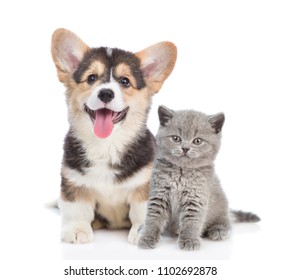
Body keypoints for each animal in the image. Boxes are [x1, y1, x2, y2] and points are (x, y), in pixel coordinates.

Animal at [51, 27, 176, 244]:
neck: (106, 145)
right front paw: (77, 230)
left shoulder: (145, 184)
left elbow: (142, 210)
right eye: (91, 78)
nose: (106, 94)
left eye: (125, 81)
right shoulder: (74, 180)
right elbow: (76, 209)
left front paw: (143, 232)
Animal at [138, 106, 258, 250]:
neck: (182, 173)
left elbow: (192, 221)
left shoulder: (196, 198)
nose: (185, 148)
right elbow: (153, 218)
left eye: (197, 141)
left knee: (227, 221)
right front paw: (147, 237)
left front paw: (189, 240)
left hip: (222, 205)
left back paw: (219, 229)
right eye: (176, 138)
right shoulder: (159, 194)